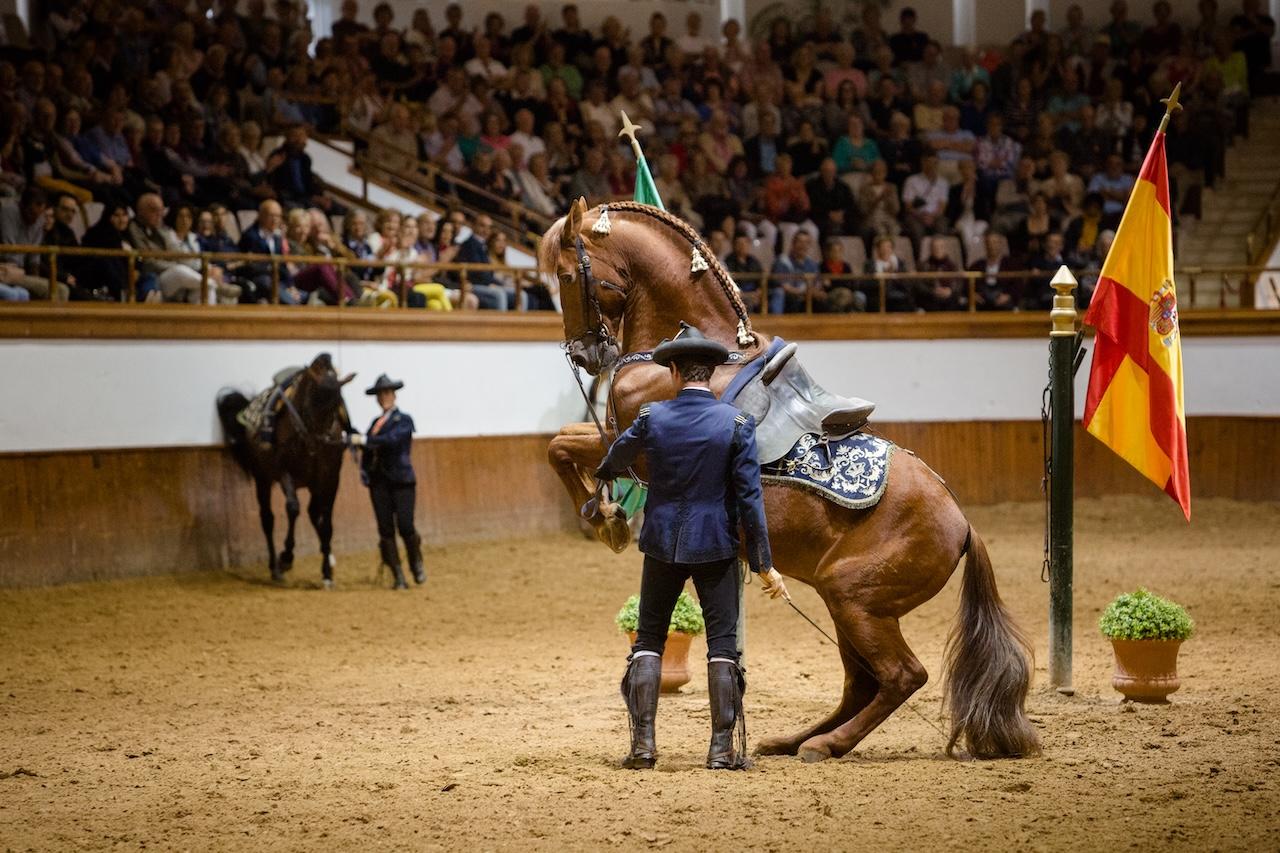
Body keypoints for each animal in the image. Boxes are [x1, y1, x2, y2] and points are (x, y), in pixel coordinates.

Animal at [216, 350, 353, 584]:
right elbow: (293, 508)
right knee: (268, 518)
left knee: (313, 513)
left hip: (313, 483)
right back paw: (275, 567)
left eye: (337, 406)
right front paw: (286, 557)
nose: (319, 442)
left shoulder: (330, 477)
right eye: (311, 401)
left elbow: (326, 521)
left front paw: (327, 571)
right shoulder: (284, 472)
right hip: (263, 479)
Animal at [537, 199, 1039, 758]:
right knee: (861, 684)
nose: (583, 354)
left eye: (565, 276)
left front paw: (607, 519)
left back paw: (827, 743)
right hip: (846, 606)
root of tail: (964, 526)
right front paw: (604, 512)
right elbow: (563, 441)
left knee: (902, 676)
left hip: (854, 601)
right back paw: (794, 740)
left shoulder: (634, 448)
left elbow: (564, 448)